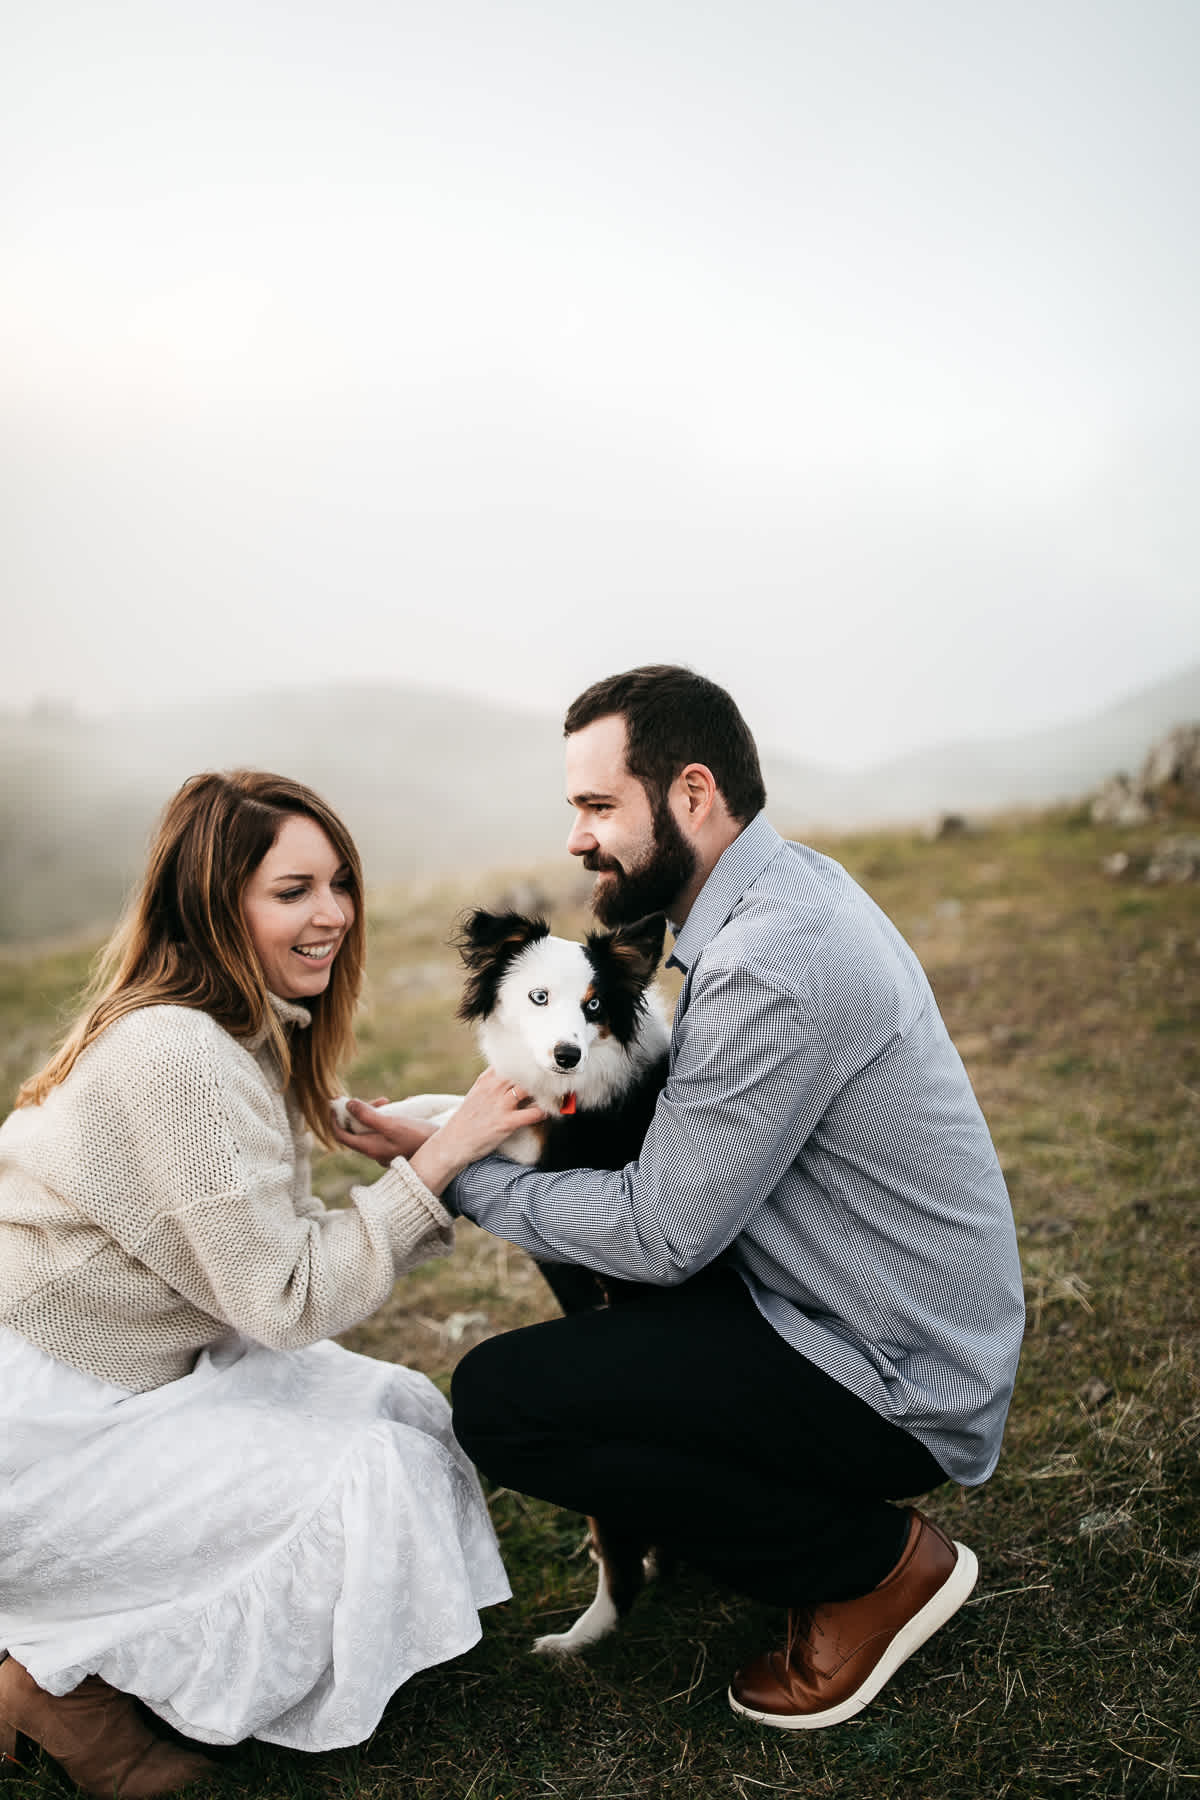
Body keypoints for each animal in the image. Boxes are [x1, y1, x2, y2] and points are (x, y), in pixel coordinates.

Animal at [332, 914, 672, 1656]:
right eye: (539, 997)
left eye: (595, 1006)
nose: (567, 1055)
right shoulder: (509, 1099)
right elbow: (457, 1101)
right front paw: (355, 1109)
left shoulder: (547, 1154)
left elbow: (453, 1127)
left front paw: (403, 1131)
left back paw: (583, 1634)